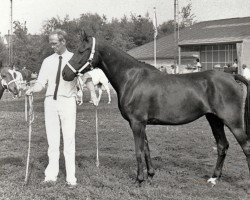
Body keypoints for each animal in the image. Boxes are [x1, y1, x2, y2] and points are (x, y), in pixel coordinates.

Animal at [63, 31, 250, 192]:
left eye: (82, 50)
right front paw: (150, 175)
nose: (65, 74)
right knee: (222, 146)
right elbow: (146, 148)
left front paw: (139, 179)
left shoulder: (136, 123)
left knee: (245, 146)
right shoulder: (141, 123)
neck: (132, 78)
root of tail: (231, 76)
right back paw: (214, 178)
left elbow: (138, 151)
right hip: (214, 120)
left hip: (233, 122)